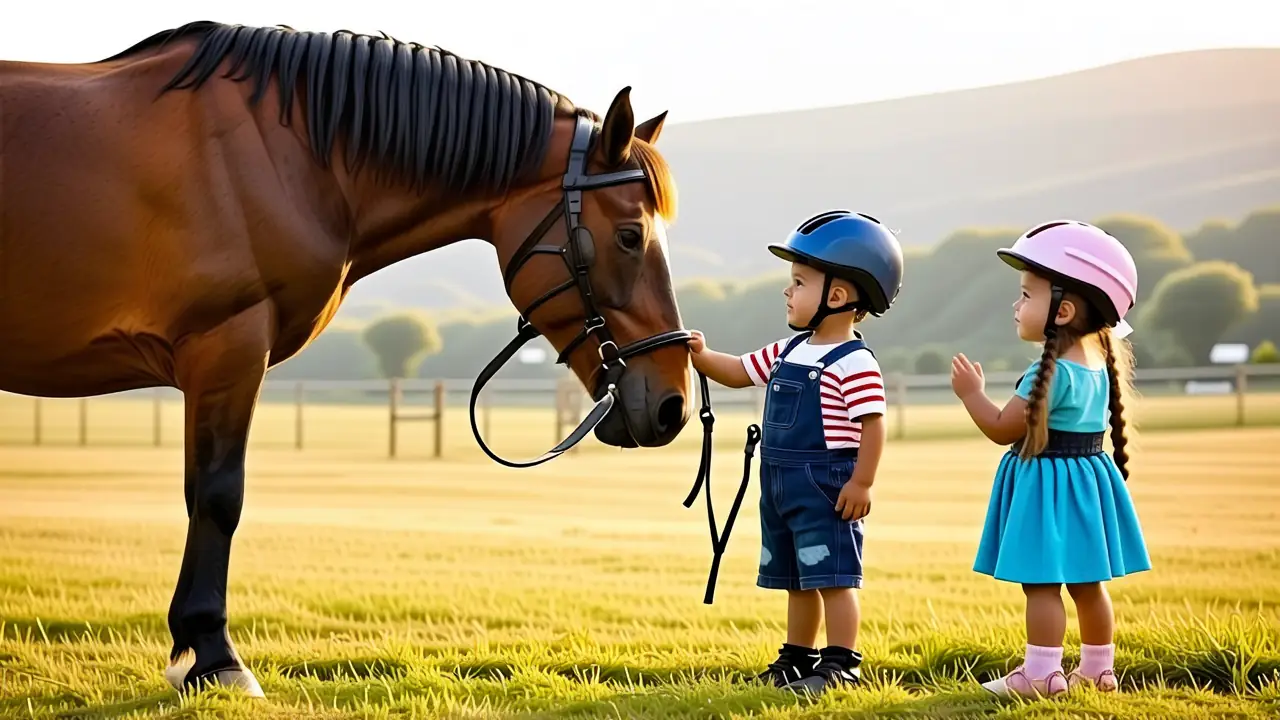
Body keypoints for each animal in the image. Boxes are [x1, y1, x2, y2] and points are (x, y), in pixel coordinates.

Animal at [0, 20, 697, 697]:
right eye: (630, 235)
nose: (673, 404)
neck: (285, 155)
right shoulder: (227, 349)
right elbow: (219, 496)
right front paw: (214, 657)